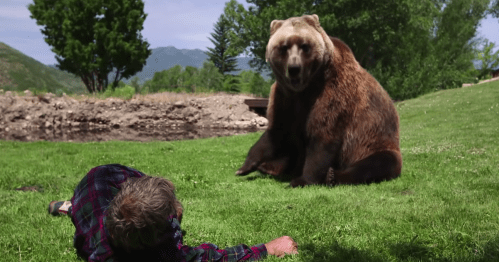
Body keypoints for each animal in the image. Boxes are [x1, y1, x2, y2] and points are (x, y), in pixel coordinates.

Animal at [236, 14, 404, 187]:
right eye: (283, 47)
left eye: (304, 46)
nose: (294, 68)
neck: (305, 88)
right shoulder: (284, 96)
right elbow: (277, 130)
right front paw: (245, 167)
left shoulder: (334, 93)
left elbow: (322, 136)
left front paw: (302, 179)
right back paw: (268, 167)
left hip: (375, 143)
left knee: (377, 163)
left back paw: (331, 176)